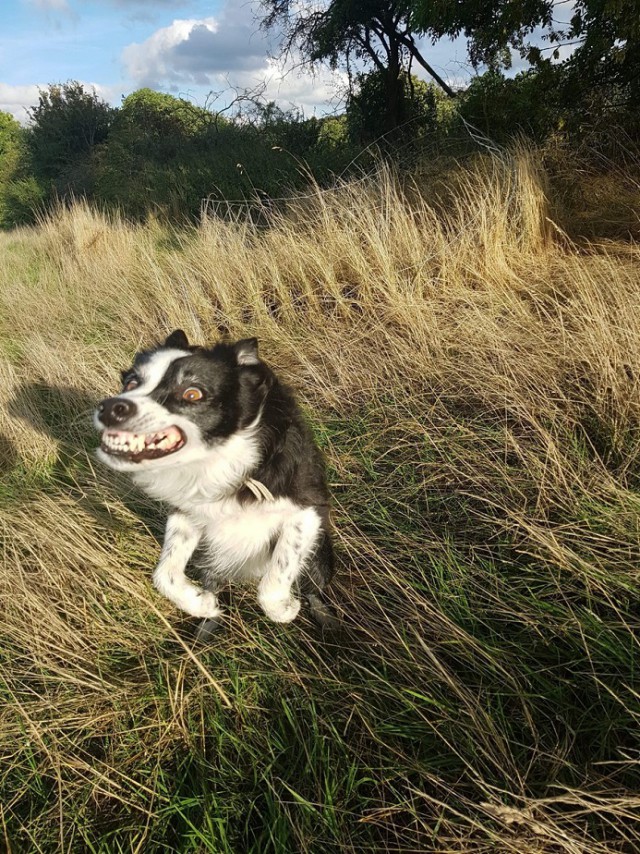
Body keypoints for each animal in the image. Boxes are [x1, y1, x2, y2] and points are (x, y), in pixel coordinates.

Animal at [95, 332, 338, 632]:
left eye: (192, 393)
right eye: (130, 383)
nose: (108, 409)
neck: (217, 458)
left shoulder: (307, 509)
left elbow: (276, 576)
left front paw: (285, 609)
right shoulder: (188, 513)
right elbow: (164, 573)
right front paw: (201, 604)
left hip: (319, 554)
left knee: (314, 588)